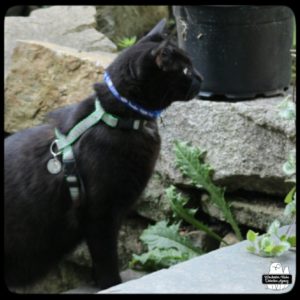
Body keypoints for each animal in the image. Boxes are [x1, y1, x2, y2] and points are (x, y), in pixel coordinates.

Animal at [4, 19, 203, 290]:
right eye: (185, 70)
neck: (119, 119)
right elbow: (106, 256)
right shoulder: (101, 214)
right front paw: (113, 284)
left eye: (191, 65)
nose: (201, 77)